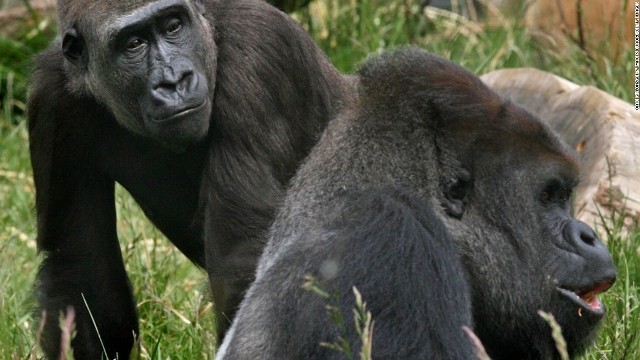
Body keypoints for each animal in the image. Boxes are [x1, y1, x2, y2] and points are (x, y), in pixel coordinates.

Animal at [27, 0, 350, 358]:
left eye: (173, 26)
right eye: (133, 43)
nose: (175, 81)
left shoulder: (260, 45)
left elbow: (244, 259)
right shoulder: (53, 94)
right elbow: (78, 263)